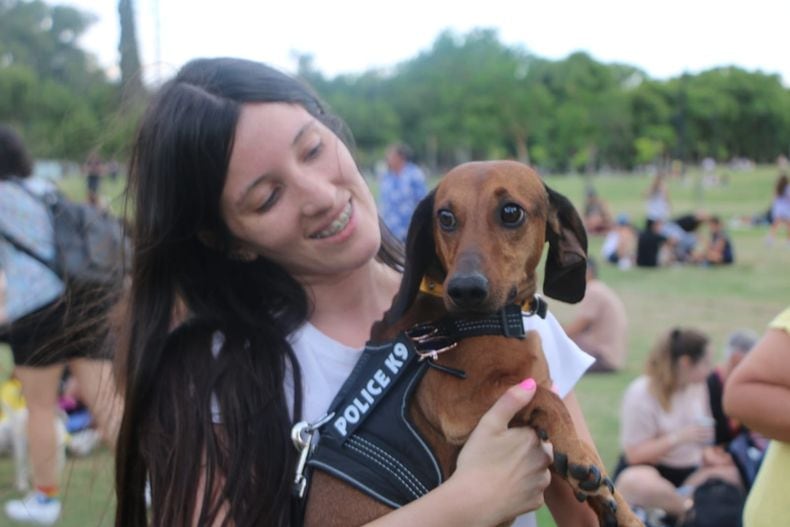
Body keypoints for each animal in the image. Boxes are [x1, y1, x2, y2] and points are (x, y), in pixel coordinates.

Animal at [304, 162, 644, 527]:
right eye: (445, 217)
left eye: (511, 212)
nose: (465, 290)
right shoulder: (459, 405)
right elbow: (549, 399)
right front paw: (579, 453)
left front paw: (617, 505)